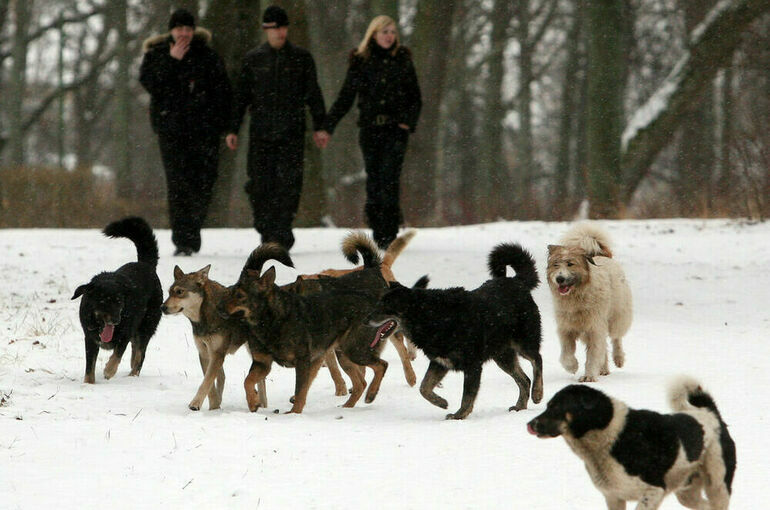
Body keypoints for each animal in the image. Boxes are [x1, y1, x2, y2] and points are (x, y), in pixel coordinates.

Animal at [72, 217, 162, 384]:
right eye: (103, 301)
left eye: (119, 301)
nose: (116, 320)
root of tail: (146, 264)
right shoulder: (90, 338)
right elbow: (89, 366)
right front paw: (89, 383)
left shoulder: (125, 334)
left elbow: (117, 354)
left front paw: (109, 370)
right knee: (135, 353)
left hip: (146, 326)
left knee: (140, 355)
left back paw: (133, 375)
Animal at [160, 264, 268, 412]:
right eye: (169, 292)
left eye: (180, 292)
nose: (162, 307)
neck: (204, 316)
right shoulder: (205, 353)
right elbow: (210, 384)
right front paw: (214, 407)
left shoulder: (217, 354)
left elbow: (206, 382)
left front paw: (195, 404)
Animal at [366, 245, 540, 420]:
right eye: (378, 303)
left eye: (384, 307)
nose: (365, 320)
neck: (430, 316)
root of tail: (517, 281)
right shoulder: (440, 362)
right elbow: (424, 387)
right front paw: (441, 402)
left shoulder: (472, 365)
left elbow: (467, 396)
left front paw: (459, 416)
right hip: (503, 356)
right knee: (524, 379)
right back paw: (520, 406)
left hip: (523, 344)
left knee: (537, 360)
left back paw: (538, 393)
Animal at [528, 376, 732, 508]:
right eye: (547, 406)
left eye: (556, 407)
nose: (529, 424)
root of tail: (710, 412)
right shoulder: (613, 497)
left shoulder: (653, 491)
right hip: (687, 492)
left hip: (718, 485)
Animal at [544, 223, 632, 382]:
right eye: (556, 265)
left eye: (570, 264)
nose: (559, 279)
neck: (576, 297)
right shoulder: (566, 328)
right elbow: (566, 353)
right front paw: (572, 366)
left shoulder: (594, 327)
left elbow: (593, 354)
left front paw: (589, 376)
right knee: (604, 346)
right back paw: (603, 369)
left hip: (617, 314)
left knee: (616, 337)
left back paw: (618, 358)